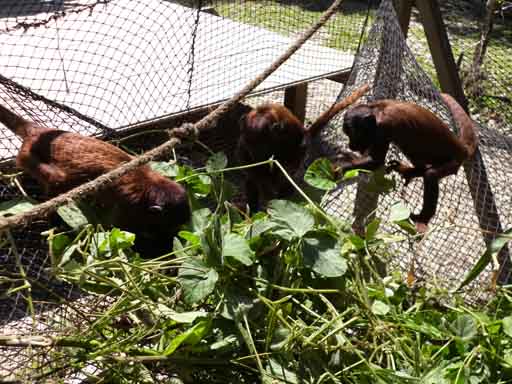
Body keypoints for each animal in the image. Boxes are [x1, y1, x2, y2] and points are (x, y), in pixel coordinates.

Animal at [0, 103, 191, 252]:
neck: (150, 185)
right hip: (26, 155)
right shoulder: (130, 206)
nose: (170, 235)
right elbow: (122, 228)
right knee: (56, 179)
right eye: (169, 226)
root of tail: (39, 133)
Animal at [236, 84, 368, 212]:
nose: (256, 153)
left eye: (261, 145)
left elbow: (296, 152)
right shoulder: (244, 144)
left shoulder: (288, 131)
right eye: (251, 145)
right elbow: (249, 168)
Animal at [342, 93, 478, 232]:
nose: (350, 145)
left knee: (431, 174)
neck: (376, 111)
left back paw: (423, 218)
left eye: (353, 134)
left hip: (454, 162)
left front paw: (338, 167)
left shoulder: (383, 127)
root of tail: (462, 148)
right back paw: (414, 172)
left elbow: (376, 161)